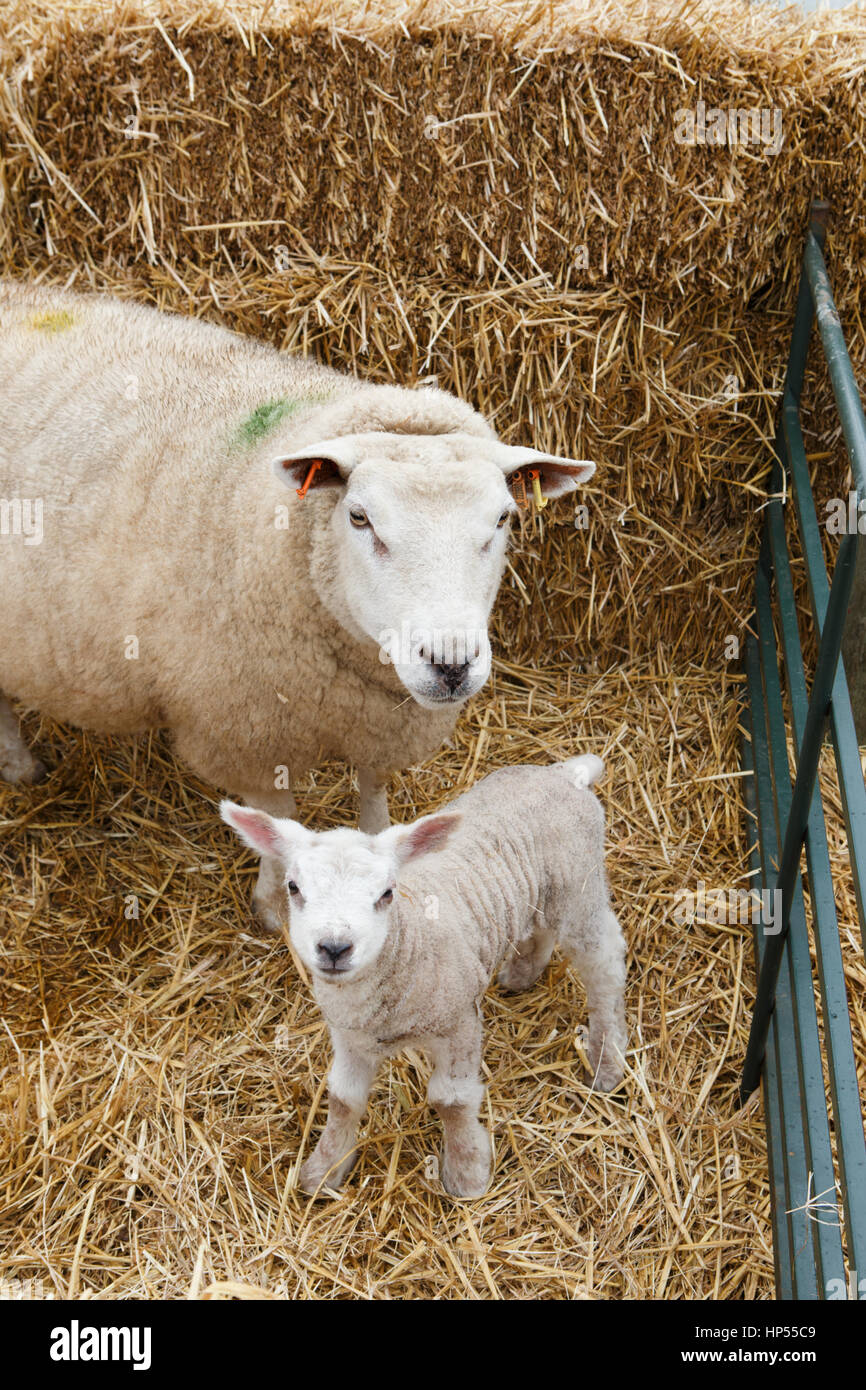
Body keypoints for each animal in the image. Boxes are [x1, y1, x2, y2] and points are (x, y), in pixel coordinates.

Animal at [0, 279, 594, 934]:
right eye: (359, 517)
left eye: (503, 518)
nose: (450, 664)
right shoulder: (245, 731)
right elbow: (275, 812)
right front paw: (272, 907)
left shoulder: (380, 721)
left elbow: (373, 791)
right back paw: (19, 768)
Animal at [219, 756, 625, 1200]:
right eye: (293, 887)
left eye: (386, 893)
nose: (334, 947)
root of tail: (567, 773)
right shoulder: (348, 1036)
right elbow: (343, 1099)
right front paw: (324, 1170)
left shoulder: (459, 1024)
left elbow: (452, 1102)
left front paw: (466, 1173)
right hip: (544, 893)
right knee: (541, 929)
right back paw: (521, 974)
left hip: (580, 888)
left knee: (605, 963)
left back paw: (606, 1061)